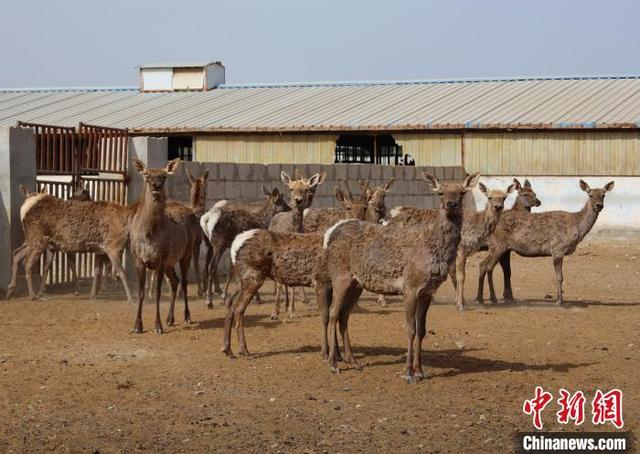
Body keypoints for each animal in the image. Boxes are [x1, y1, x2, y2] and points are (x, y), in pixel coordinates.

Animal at [130, 159, 195, 334]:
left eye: (164, 176)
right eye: (146, 175)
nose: (156, 185)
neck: (148, 234)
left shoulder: (160, 259)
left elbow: (158, 293)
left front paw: (157, 326)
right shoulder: (138, 259)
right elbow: (141, 292)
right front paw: (137, 326)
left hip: (187, 252)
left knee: (184, 282)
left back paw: (187, 317)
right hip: (169, 262)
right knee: (174, 281)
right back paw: (170, 319)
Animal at [320, 172, 480, 382]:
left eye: (461, 193)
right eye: (440, 193)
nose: (451, 204)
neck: (435, 249)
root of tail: (330, 235)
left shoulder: (427, 291)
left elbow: (422, 329)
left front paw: (420, 371)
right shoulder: (410, 286)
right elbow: (410, 329)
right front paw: (408, 372)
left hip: (357, 283)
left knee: (344, 314)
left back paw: (354, 362)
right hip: (340, 275)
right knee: (332, 312)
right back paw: (333, 364)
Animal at [478, 179, 612, 306]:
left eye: (603, 195)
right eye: (590, 195)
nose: (599, 205)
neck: (576, 229)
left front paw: (558, 299)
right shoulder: (558, 248)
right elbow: (559, 277)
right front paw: (560, 302)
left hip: (502, 248)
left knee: (490, 267)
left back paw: (488, 298)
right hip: (498, 245)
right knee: (486, 266)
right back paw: (489, 299)